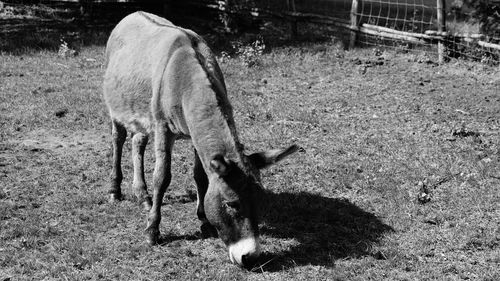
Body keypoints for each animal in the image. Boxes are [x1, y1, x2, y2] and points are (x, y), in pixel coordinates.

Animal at [102, 12, 296, 266]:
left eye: (260, 202)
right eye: (231, 204)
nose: (250, 258)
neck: (185, 77)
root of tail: (131, 15)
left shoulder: (196, 136)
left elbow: (201, 177)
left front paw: (204, 220)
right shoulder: (163, 129)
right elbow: (162, 177)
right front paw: (152, 231)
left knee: (138, 142)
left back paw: (143, 196)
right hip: (117, 109)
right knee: (119, 139)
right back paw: (115, 190)